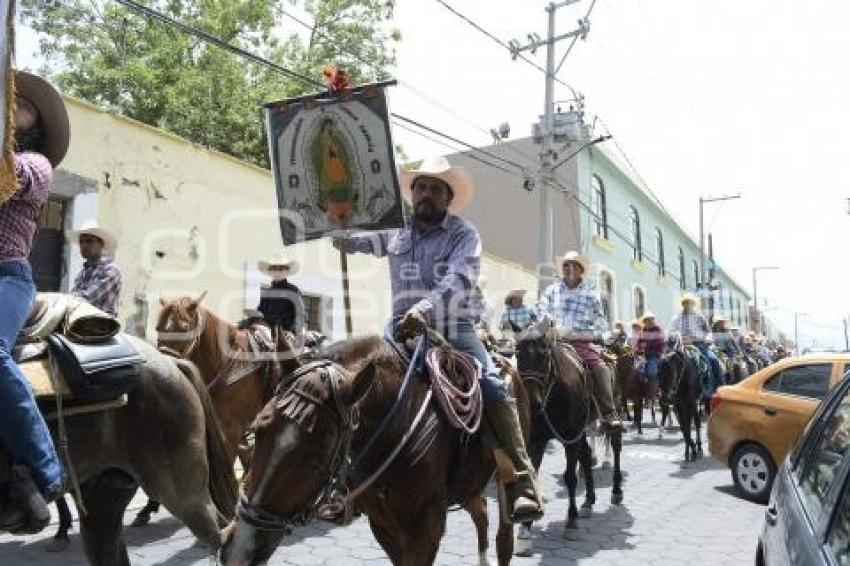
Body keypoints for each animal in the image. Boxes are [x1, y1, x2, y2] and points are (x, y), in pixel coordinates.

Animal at [219, 332, 528, 566]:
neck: (399, 425)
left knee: (504, 537)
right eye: (259, 429)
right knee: (481, 512)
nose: (238, 550)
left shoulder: (426, 528)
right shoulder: (383, 525)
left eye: (316, 457)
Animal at [510, 336, 624, 544]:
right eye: (518, 354)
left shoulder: (571, 437)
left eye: (544, 354)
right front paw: (526, 525)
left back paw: (616, 491)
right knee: (586, 456)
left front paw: (571, 521)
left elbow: (570, 477)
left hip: (614, 409)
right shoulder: (537, 439)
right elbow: (533, 472)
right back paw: (588, 501)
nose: (531, 403)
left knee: (616, 443)